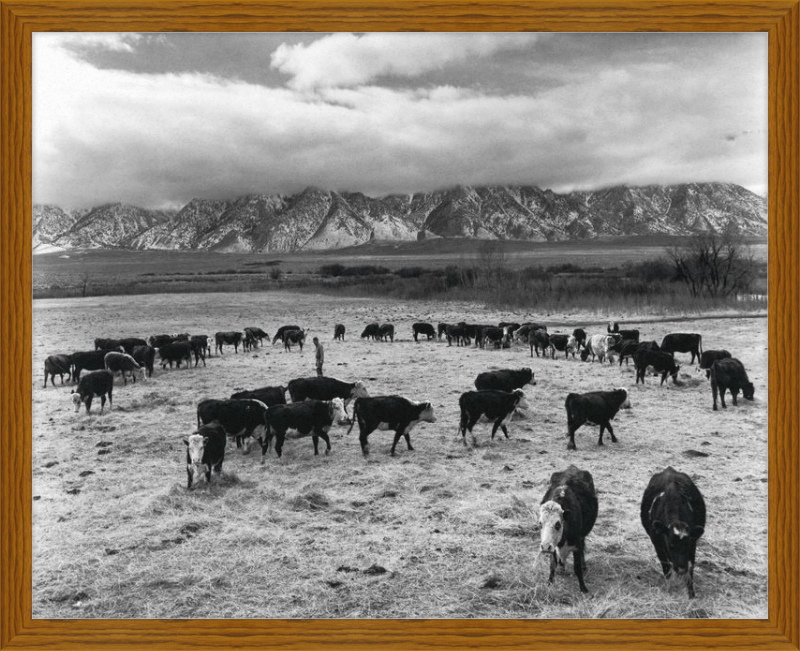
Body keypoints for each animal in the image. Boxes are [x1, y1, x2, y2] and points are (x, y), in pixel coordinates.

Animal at [540, 464, 596, 596]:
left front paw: (583, 588)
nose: (545, 547)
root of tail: (572, 467)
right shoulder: (553, 546)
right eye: (540, 523)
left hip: (582, 536)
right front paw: (549, 583)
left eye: (558, 524)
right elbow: (552, 565)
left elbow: (577, 567)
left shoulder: (576, 544)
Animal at [636, 466, 708, 600]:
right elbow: (666, 568)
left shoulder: (692, 544)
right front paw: (669, 590)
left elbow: (690, 571)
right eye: (670, 545)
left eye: (686, 545)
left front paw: (691, 595)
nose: (680, 569)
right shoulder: (658, 545)